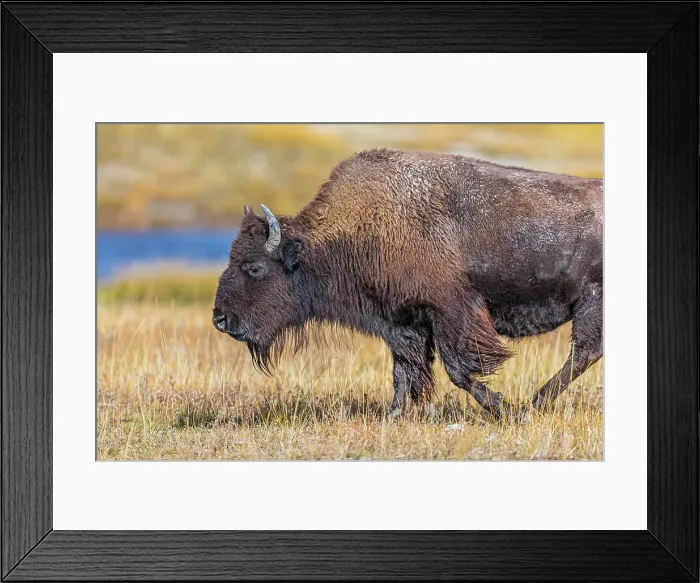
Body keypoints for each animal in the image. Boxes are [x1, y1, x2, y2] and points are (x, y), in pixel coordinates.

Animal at [213, 148, 602, 421]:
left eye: (255, 267)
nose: (220, 319)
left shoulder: (450, 312)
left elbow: (458, 370)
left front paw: (502, 409)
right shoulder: (401, 322)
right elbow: (403, 371)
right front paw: (394, 416)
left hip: (590, 300)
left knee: (584, 351)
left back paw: (533, 405)